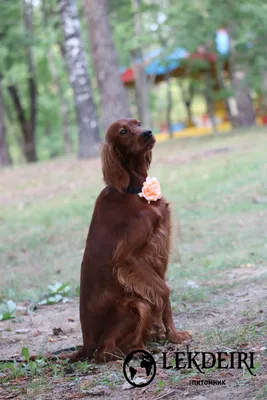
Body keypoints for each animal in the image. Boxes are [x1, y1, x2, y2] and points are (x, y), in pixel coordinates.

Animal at [74, 116, 192, 362]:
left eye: (137, 123)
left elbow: (164, 295)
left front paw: (173, 335)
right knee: (105, 353)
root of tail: (86, 345)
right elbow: (164, 292)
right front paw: (169, 334)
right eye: (122, 131)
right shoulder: (128, 257)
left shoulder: (159, 250)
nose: (147, 132)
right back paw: (141, 349)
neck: (134, 190)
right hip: (135, 303)